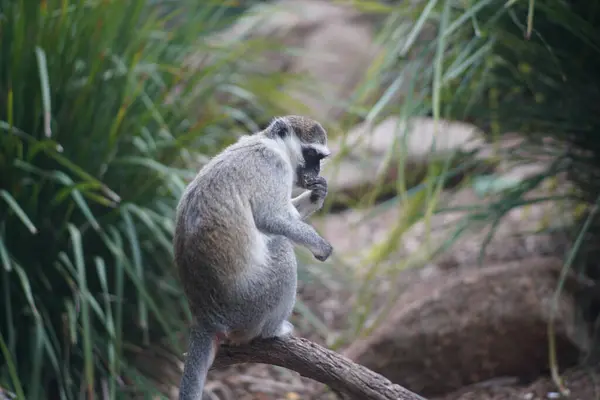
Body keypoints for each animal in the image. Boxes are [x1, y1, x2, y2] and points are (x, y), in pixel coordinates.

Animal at [173, 114, 332, 398]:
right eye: (311, 155)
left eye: (320, 159)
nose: (316, 173)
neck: (270, 143)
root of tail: (206, 317)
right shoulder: (272, 167)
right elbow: (271, 218)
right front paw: (319, 245)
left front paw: (317, 194)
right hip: (249, 306)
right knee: (281, 246)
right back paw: (273, 331)